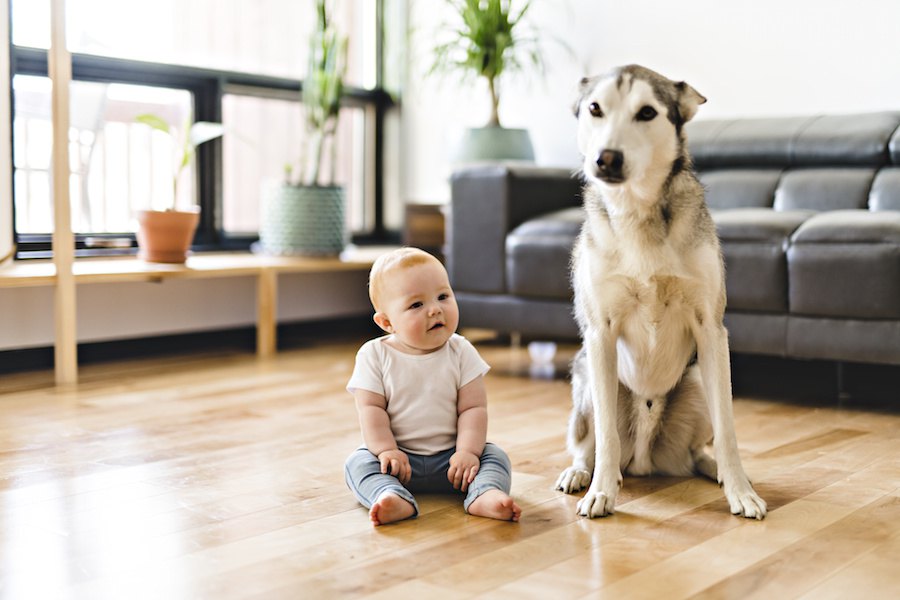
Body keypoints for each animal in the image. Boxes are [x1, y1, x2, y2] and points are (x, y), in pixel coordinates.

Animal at [552, 63, 768, 516]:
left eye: (647, 112)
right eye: (595, 109)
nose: (606, 158)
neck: (636, 211)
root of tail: (645, 458)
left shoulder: (711, 331)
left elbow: (728, 430)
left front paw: (740, 490)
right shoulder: (600, 334)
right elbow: (606, 438)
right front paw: (601, 492)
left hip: (699, 378)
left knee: (697, 451)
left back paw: (714, 470)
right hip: (586, 377)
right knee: (589, 444)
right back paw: (582, 474)